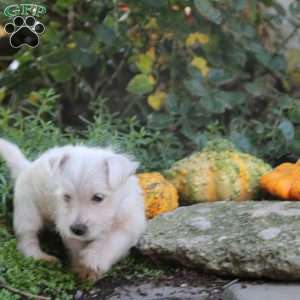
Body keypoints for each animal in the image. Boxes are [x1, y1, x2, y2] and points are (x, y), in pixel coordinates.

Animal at [0, 138, 146, 282]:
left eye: (98, 197)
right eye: (66, 196)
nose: (77, 229)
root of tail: (26, 166)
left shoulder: (128, 224)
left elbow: (110, 242)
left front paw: (91, 262)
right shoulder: (66, 226)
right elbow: (76, 248)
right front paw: (81, 267)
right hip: (27, 211)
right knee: (27, 238)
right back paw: (41, 257)